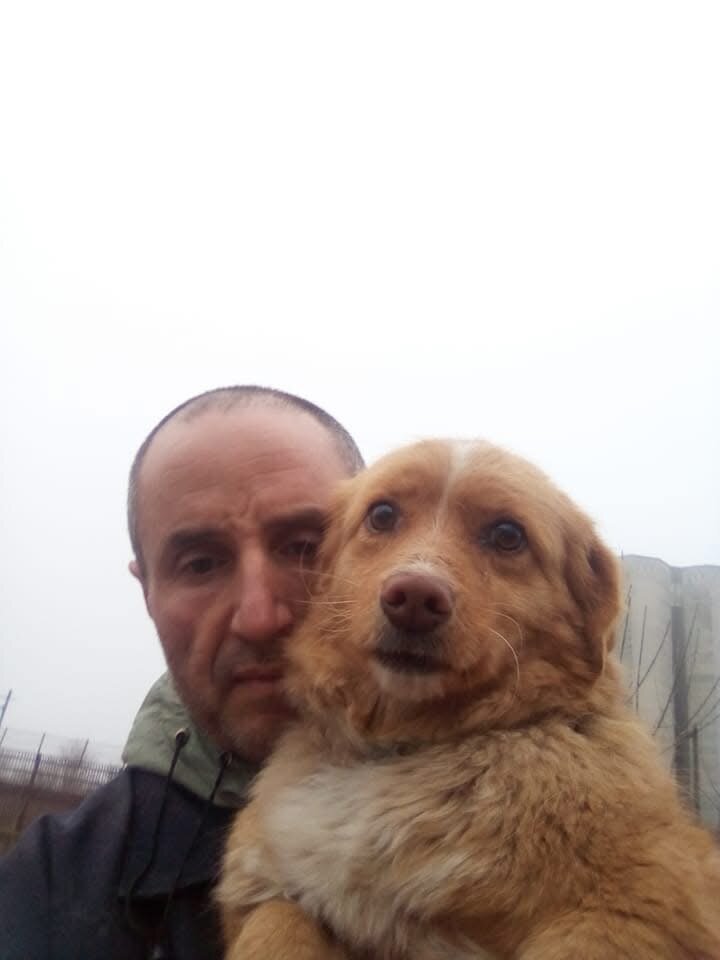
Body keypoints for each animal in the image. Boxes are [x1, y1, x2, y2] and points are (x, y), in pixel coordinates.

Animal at [217, 439, 720, 960]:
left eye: (507, 534)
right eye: (382, 514)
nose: (414, 597)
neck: (402, 748)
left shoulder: (636, 909)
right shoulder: (267, 890)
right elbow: (277, 918)